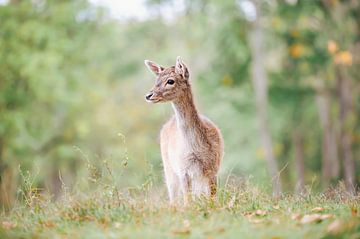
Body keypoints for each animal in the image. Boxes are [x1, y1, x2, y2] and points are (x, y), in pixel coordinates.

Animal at [144, 56, 224, 204]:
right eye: (156, 80)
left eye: (170, 81)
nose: (148, 95)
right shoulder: (183, 170)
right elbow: (188, 201)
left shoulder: (213, 168)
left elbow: (212, 198)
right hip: (168, 167)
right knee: (173, 197)